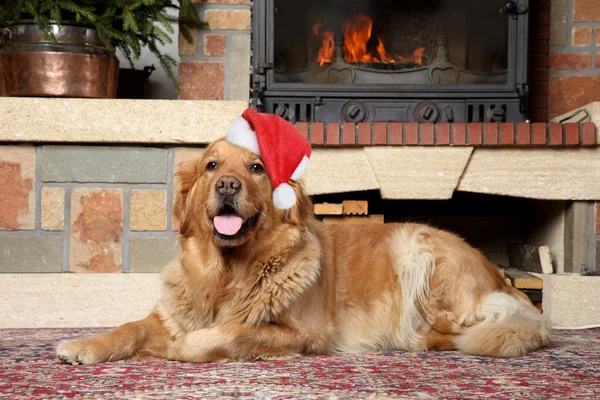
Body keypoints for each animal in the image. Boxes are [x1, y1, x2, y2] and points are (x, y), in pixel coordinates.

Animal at [56, 138, 548, 366]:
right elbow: (129, 327)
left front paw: (183, 348)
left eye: (256, 167)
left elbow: (232, 333)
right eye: (212, 164)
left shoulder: (305, 333)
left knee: (461, 332)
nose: (227, 185)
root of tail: (499, 274)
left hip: (418, 250)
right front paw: (84, 344)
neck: (227, 274)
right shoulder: (170, 313)